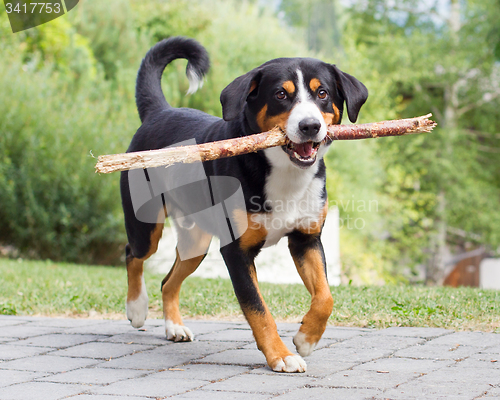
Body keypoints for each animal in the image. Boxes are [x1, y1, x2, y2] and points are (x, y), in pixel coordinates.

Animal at [118, 36, 366, 372]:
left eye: (322, 93)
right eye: (281, 94)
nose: (310, 126)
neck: (284, 174)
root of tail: (160, 112)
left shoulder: (306, 239)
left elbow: (325, 297)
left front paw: (306, 338)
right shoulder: (237, 251)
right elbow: (258, 309)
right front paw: (282, 356)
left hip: (196, 242)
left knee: (169, 282)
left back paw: (174, 327)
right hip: (147, 226)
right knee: (133, 254)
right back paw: (137, 308)